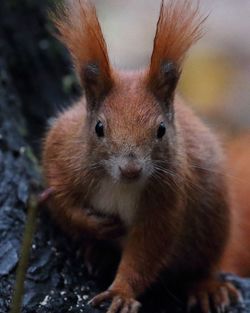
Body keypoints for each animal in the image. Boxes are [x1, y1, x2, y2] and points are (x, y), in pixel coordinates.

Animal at [41, 0, 246, 312]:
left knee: (204, 265)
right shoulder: (62, 153)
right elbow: (60, 201)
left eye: (161, 129)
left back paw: (207, 287)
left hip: (215, 221)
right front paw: (94, 226)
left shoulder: (167, 197)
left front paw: (121, 292)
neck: (119, 184)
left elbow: (147, 250)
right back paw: (97, 252)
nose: (130, 169)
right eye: (99, 127)